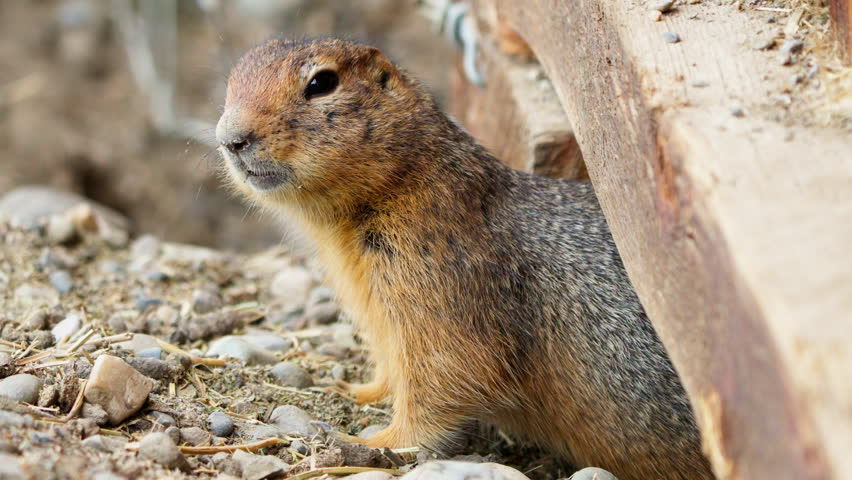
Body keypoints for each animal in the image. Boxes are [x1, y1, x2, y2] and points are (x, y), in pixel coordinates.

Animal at [215, 38, 714, 480]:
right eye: (232, 81)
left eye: (321, 83)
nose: (230, 139)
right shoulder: (375, 302)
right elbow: (392, 361)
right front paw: (355, 389)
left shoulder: (433, 269)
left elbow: (446, 369)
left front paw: (371, 441)